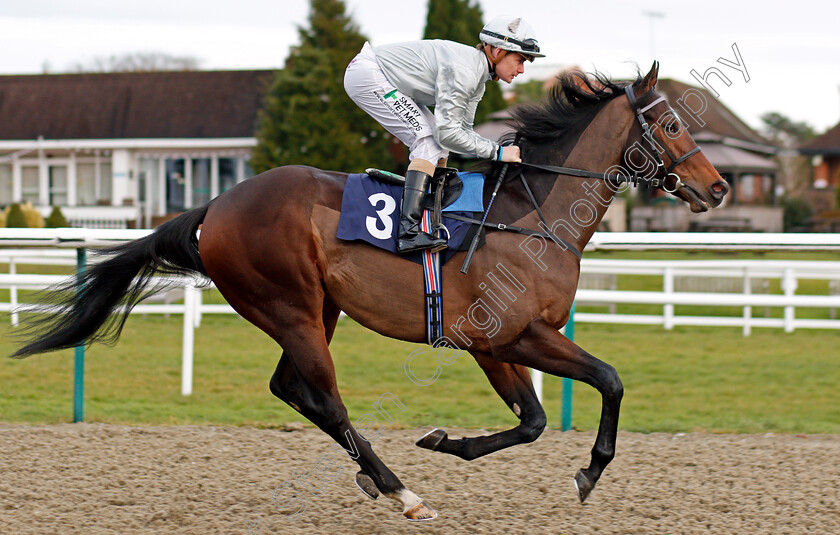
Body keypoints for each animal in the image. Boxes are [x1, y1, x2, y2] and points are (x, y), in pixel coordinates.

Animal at [9, 61, 724, 520]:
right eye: (670, 127)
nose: (716, 187)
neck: (531, 217)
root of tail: (217, 204)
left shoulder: (511, 341)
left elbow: (537, 418)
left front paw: (450, 441)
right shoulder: (502, 337)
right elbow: (602, 383)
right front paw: (587, 470)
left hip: (314, 309)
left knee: (291, 389)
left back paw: (372, 476)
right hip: (289, 305)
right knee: (325, 400)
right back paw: (402, 492)